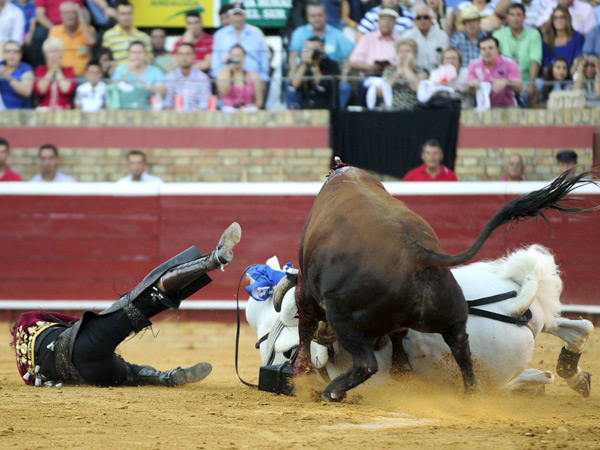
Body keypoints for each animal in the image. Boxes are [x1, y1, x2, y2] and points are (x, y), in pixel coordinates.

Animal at [294, 164, 596, 400]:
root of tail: (417, 253)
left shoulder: (307, 293)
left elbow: (305, 326)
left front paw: (300, 370)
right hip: (451, 313)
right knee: (462, 345)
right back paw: (471, 394)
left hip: (344, 319)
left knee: (365, 363)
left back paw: (332, 391)